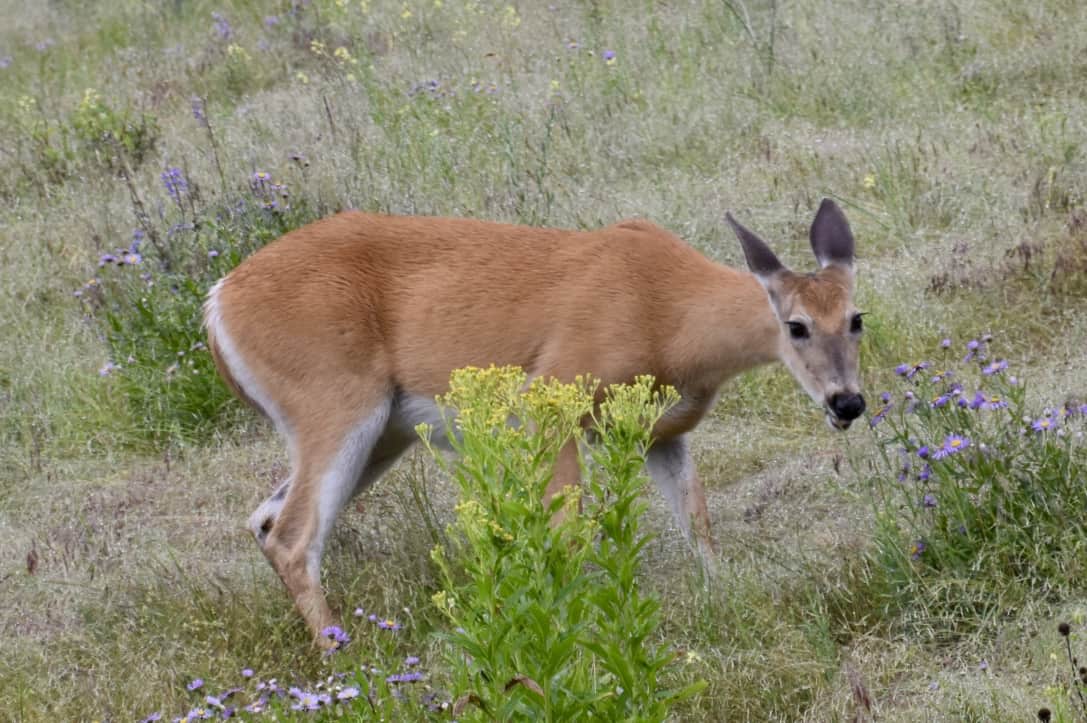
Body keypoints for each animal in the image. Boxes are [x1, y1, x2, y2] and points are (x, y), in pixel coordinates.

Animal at [203, 198, 865, 647]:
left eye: (857, 317)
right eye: (796, 325)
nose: (847, 403)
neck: (668, 318)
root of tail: (215, 305)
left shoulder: (658, 432)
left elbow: (697, 519)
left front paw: (723, 600)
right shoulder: (550, 397)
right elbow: (569, 532)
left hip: (382, 432)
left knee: (266, 519)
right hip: (335, 400)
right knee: (293, 537)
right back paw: (348, 658)